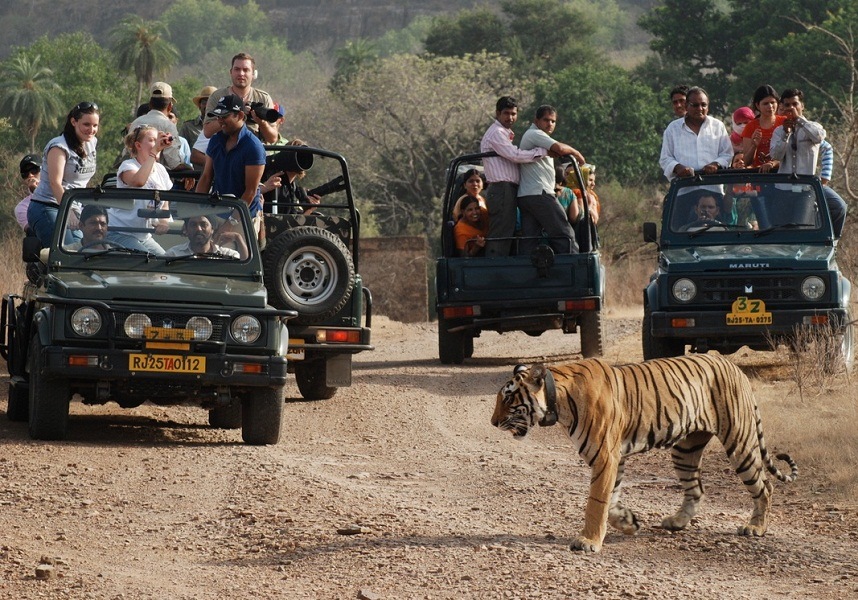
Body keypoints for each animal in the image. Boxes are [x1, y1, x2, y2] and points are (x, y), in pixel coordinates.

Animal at [488, 354, 796, 556]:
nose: (493, 422)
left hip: (739, 441)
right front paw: (628, 522)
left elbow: (596, 502)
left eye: (508, 398)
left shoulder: (605, 456)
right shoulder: (614, 458)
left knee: (764, 486)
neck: (558, 402)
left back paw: (755, 527)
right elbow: (610, 500)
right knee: (696, 489)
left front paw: (588, 541)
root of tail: (733, 365)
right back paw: (677, 522)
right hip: (685, 449)